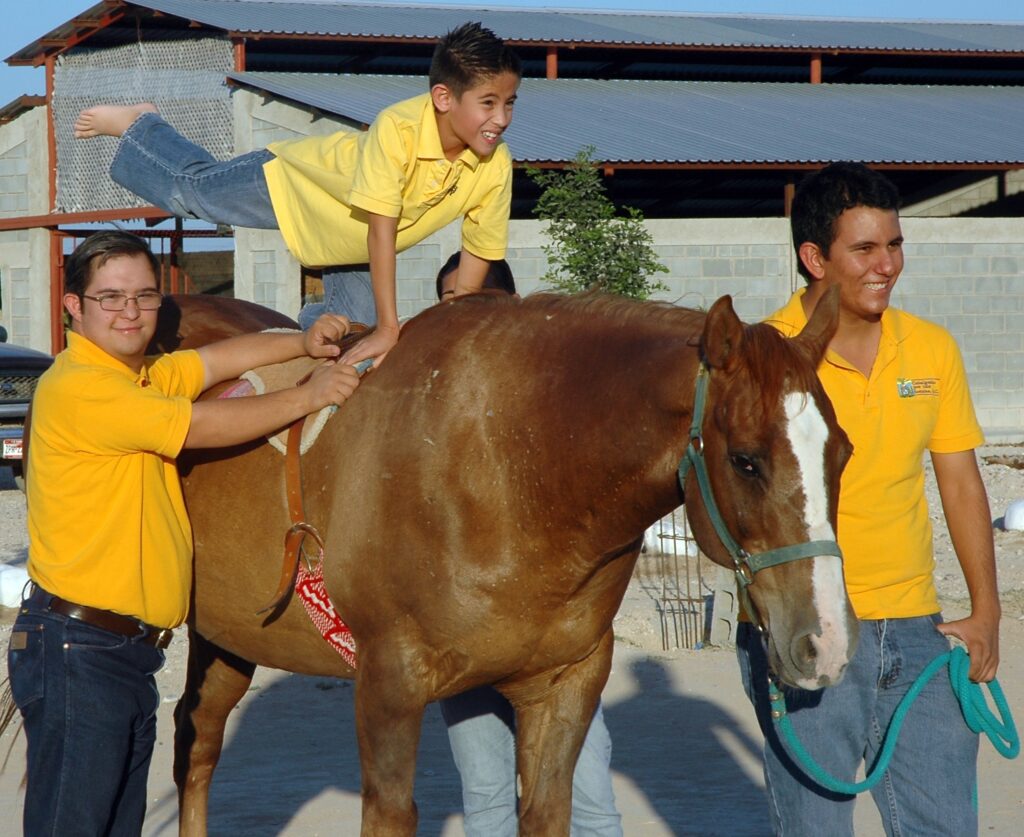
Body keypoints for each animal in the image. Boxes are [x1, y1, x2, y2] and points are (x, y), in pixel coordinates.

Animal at [165, 288, 856, 835]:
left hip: (227, 639)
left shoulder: (565, 686)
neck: (504, 465)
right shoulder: (387, 686)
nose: (824, 644)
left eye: (843, 452)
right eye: (745, 460)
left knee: (196, 747)